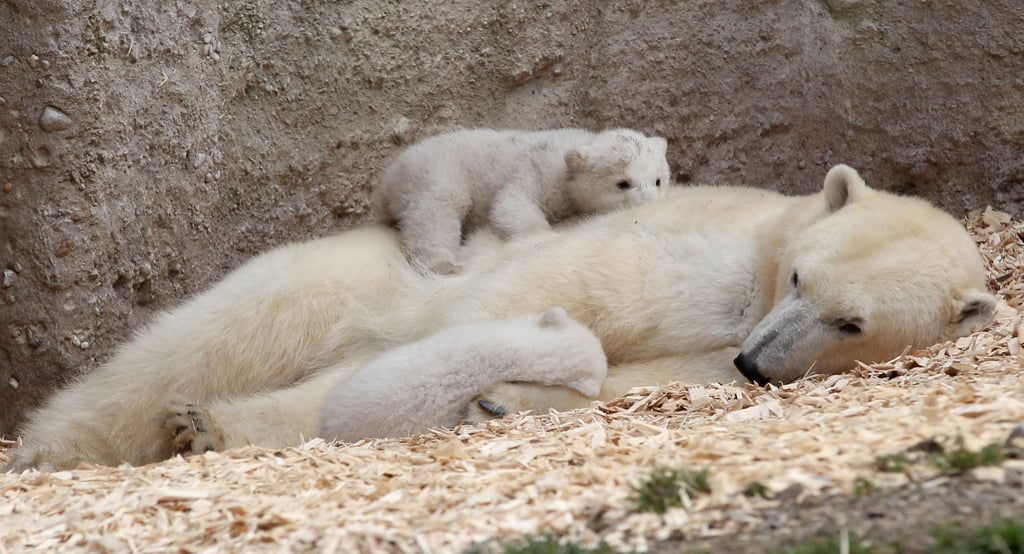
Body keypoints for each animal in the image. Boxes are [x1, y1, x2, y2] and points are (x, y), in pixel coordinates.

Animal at [6, 164, 991, 471]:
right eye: (798, 277)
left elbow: (641, 377)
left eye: (851, 323)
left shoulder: (714, 350)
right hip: (333, 278)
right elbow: (539, 302)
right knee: (198, 342)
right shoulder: (684, 251)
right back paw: (66, 445)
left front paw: (501, 401)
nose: (760, 361)